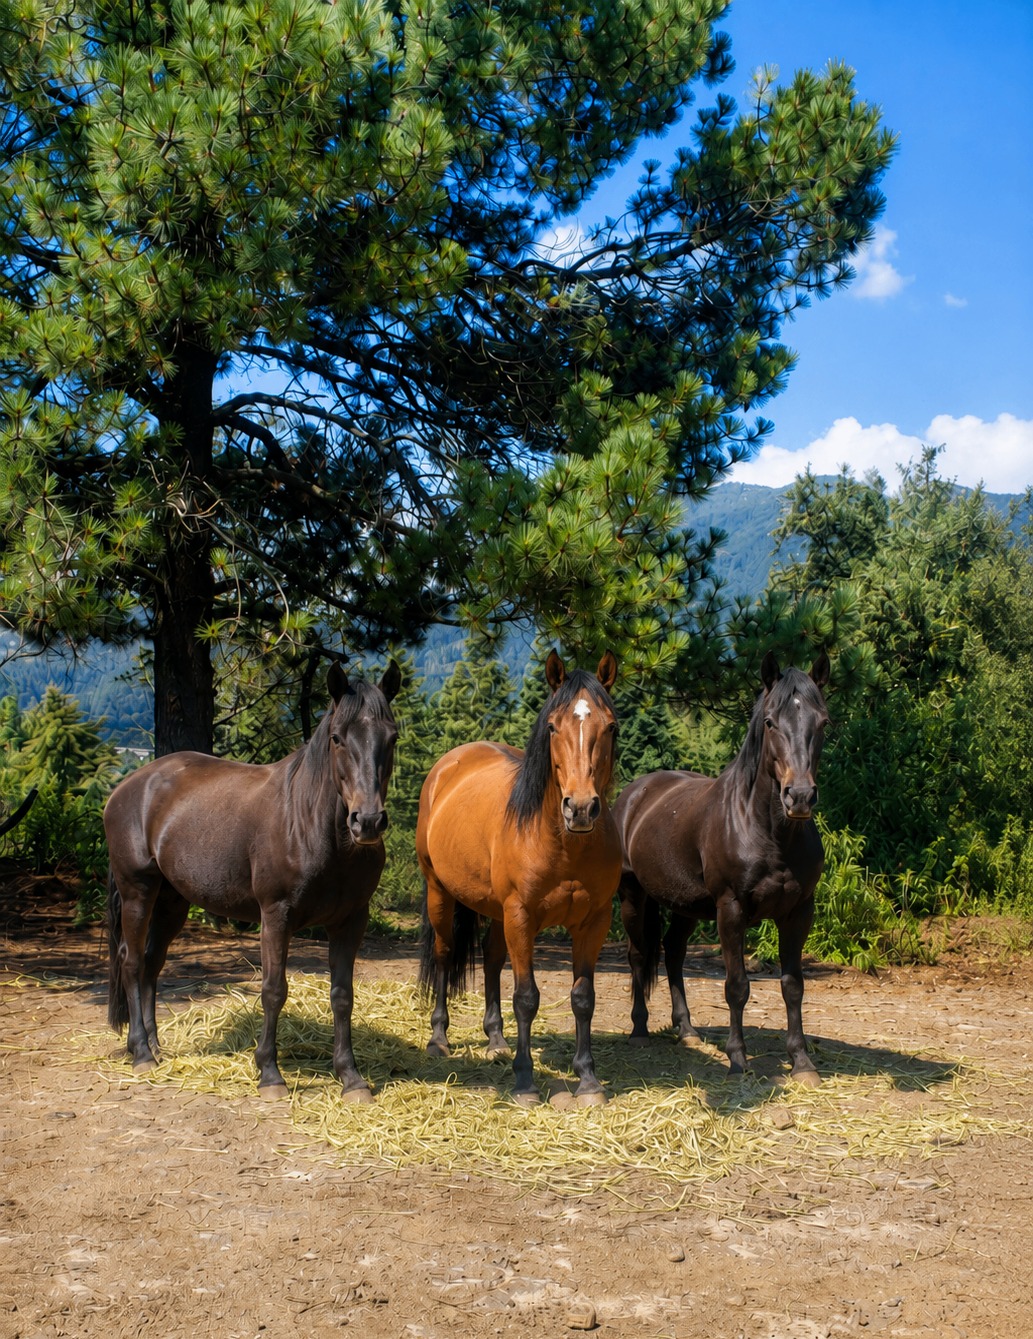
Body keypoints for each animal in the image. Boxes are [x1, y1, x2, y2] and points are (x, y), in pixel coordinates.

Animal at [105, 661, 400, 1101]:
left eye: (392, 737)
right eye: (337, 738)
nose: (366, 821)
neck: (312, 826)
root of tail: (128, 786)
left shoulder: (351, 921)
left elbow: (342, 996)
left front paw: (351, 1077)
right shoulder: (276, 917)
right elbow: (274, 990)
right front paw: (270, 1074)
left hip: (172, 900)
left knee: (152, 964)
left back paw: (154, 1045)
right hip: (138, 890)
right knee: (132, 960)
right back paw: (141, 1052)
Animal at [416, 650, 621, 1106]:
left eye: (611, 725)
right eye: (552, 726)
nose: (581, 808)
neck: (563, 844)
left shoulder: (594, 921)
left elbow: (583, 998)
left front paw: (589, 1080)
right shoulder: (522, 916)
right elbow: (526, 997)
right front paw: (525, 1081)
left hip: (496, 911)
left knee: (492, 958)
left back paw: (496, 1041)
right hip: (440, 893)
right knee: (443, 954)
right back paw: (439, 1039)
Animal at [614, 651, 830, 1084]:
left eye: (824, 722)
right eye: (770, 722)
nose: (799, 796)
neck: (768, 832)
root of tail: (634, 794)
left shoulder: (799, 911)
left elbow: (793, 985)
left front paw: (801, 1061)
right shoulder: (730, 909)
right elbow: (737, 986)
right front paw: (738, 1058)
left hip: (686, 906)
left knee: (673, 953)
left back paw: (686, 1029)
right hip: (633, 896)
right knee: (638, 955)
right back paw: (640, 1030)